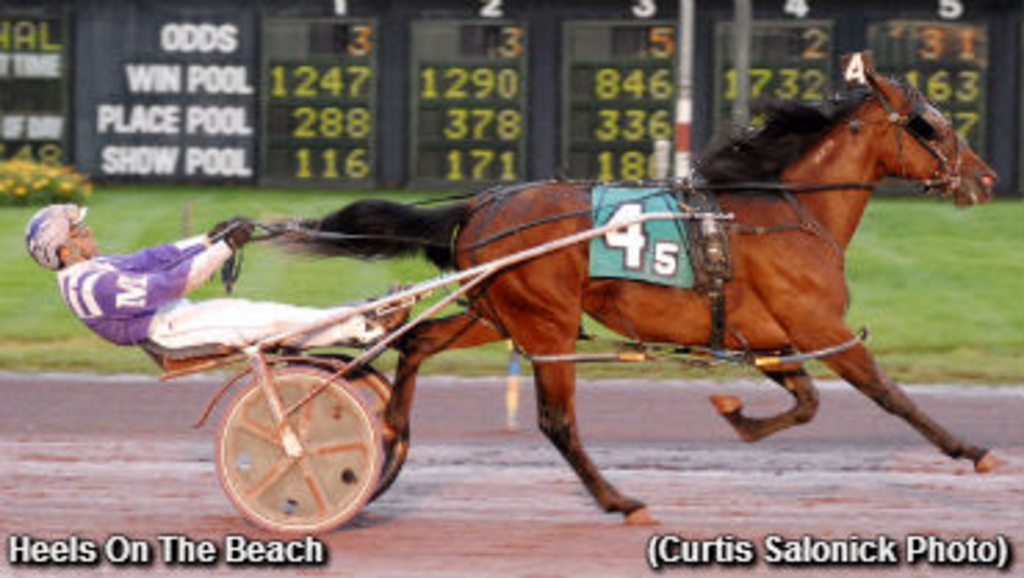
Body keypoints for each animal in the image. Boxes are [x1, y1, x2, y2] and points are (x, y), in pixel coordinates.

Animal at [276, 62, 995, 524]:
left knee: (419, 341)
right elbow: (889, 394)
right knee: (557, 421)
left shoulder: (770, 334)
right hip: (546, 322)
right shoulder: (822, 328)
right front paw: (972, 450)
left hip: (496, 310)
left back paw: (392, 430)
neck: (790, 212)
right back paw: (618, 501)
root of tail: (481, 204)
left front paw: (736, 414)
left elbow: (807, 402)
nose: (984, 178)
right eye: (929, 124)